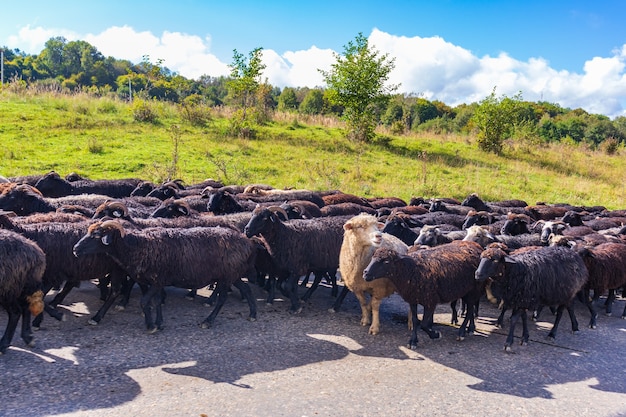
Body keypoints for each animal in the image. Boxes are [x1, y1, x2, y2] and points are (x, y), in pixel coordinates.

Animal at [72, 218, 258, 332]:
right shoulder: (157, 282)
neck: (138, 246)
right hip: (232, 274)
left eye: (97, 235)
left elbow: (144, 301)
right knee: (247, 289)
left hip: (227, 276)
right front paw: (159, 323)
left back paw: (208, 321)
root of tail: (247, 242)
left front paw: (150, 326)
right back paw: (253, 314)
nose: (75, 249)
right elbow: (156, 302)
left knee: (222, 299)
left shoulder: (157, 280)